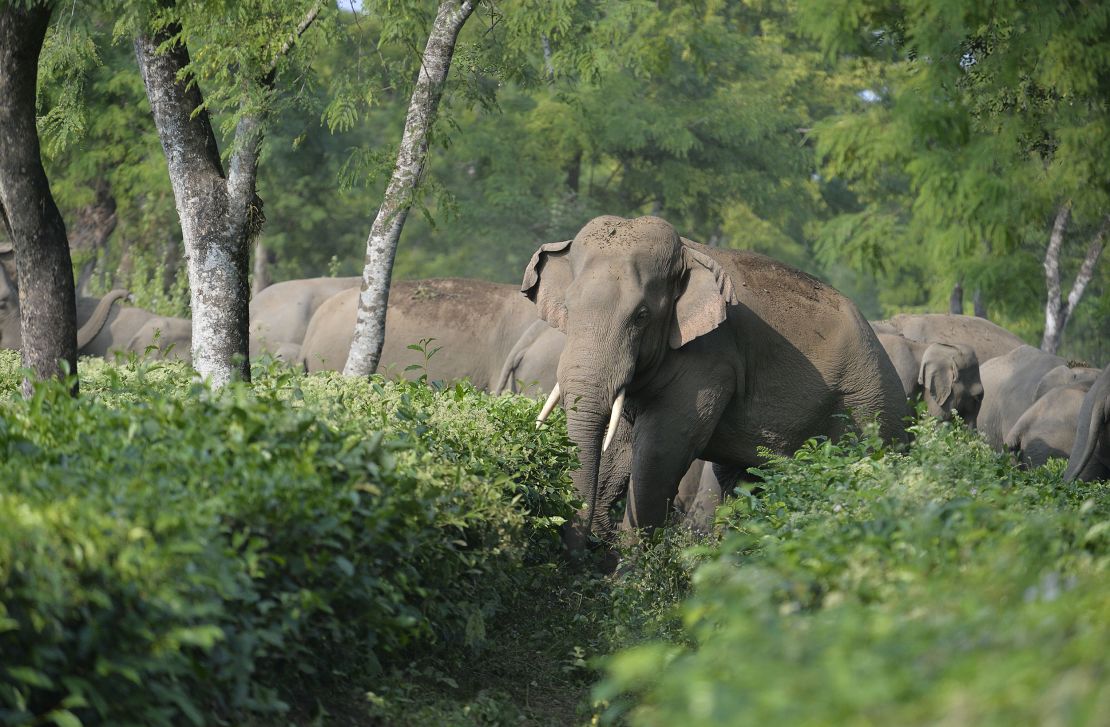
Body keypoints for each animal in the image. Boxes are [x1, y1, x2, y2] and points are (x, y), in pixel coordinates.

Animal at [519, 213, 910, 543]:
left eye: (642, 316)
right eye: (567, 308)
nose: (578, 547)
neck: (687, 254)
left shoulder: (710, 359)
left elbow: (659, 454)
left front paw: (631, 575)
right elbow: (620, 451)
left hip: (868, 409)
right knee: (744, 482)